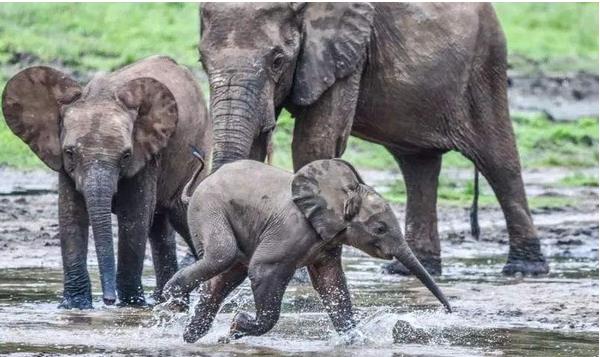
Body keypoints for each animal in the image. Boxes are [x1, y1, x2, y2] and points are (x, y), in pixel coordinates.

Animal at [1, 55, 213, 308]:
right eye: (70, 152)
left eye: (126, 156)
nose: (108, 300)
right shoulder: (64, 163)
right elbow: (71, 215)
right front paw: (75, 306)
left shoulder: (145, 155)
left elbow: (133, 217)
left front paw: (131, 305)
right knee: (160, 226)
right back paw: (165, 300)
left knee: (183, 214)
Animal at [161, 159, 450, 342]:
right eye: (380, 229)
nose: (448, 311)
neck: (342, 192)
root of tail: (199, 187)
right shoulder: (293, 230)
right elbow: (264, 269)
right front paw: (236, 327)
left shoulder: (328, 240)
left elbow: (330, 282)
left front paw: (354, 340)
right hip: (208, 207)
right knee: (223, 254)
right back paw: (171, 300)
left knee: (227, 274)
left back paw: (190, 335)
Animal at [199, 3, 548, 276]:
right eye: (202, 62)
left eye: (277, 60)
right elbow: (255, 146)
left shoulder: (343, 54)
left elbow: (313, 142)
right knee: (417, 165)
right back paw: (409, 270)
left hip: (484, 61)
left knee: (497, 158)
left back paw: (523, 268)